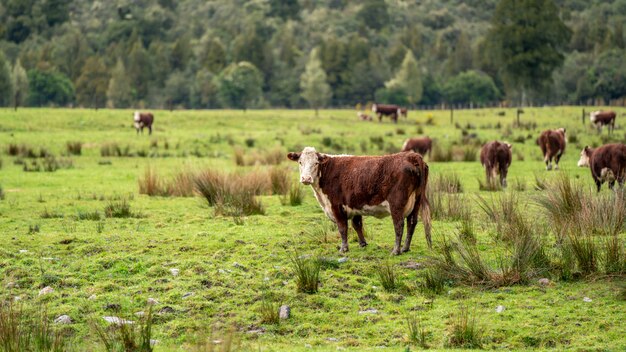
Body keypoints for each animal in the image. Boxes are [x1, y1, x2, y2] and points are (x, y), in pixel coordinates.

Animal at [286, 147, 428, 254]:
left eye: (316, 163)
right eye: (300, 162)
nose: (306, 178)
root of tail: (411, 156)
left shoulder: (336, 206)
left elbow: (342, 228)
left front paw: (343, 248)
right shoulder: (354, 205)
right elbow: (357, 225)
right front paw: (362, 244)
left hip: (397, 203)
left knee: (399, 224)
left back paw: (396, 250)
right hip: (416, 202)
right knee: (412, 223)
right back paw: (405, 248)